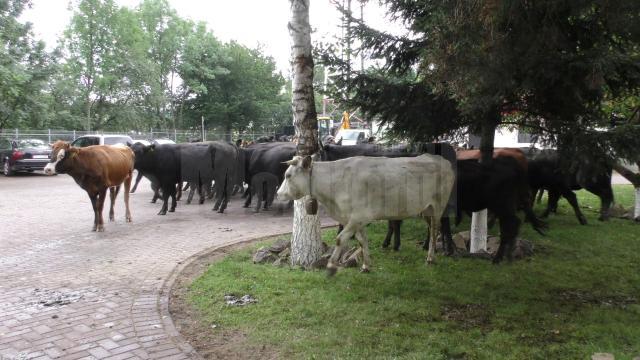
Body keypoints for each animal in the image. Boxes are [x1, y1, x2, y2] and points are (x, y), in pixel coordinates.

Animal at [276, 153, 456, 274]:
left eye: (288, 175)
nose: (278, 194)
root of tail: (439, 159)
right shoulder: (357, 219)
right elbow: (362, 241)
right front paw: (366, 265)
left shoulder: (357, 217)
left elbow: (340, 239)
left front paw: (332, 265)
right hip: (426, 209)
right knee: (433, 228)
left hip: (439, 205)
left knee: (436, 228)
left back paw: (431, 257)